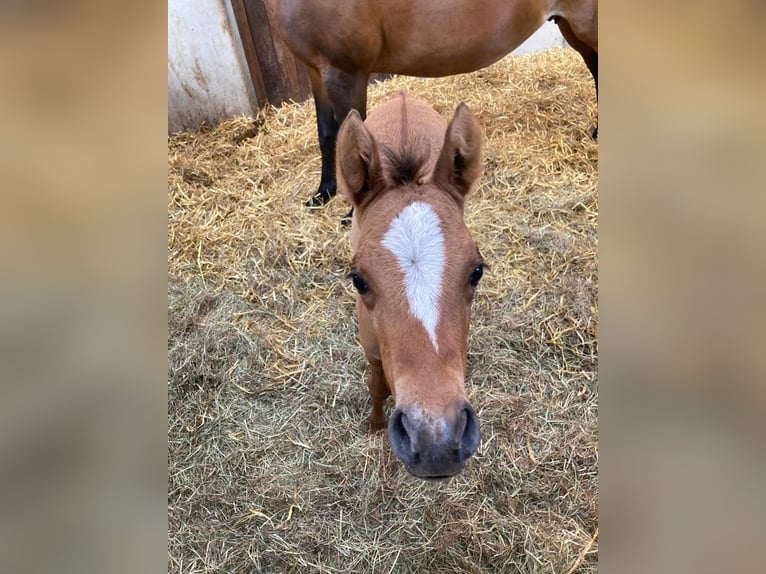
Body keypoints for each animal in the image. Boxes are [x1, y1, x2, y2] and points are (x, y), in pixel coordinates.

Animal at [338, 93, 484, 482]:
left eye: (477, 271)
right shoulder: (371, 348)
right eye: (358, 280)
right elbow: (376, 386)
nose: (436, 444)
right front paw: (374, 424)